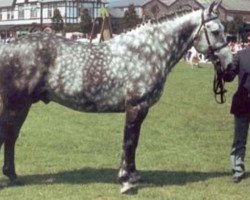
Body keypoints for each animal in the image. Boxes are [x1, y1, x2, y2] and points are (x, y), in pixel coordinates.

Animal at [0, 0, 232, 193]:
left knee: (11, 136)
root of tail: (9, 46)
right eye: (215, 31)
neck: (146, 52)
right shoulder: (136, 107)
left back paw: (13, 176)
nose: (230, 67)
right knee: (8, 135)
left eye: (225, 32)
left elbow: (133, 142)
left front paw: (133, 176)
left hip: (22, 105)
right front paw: (126, 180)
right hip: (16, 104)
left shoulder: (140, 109)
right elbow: (129, 142)